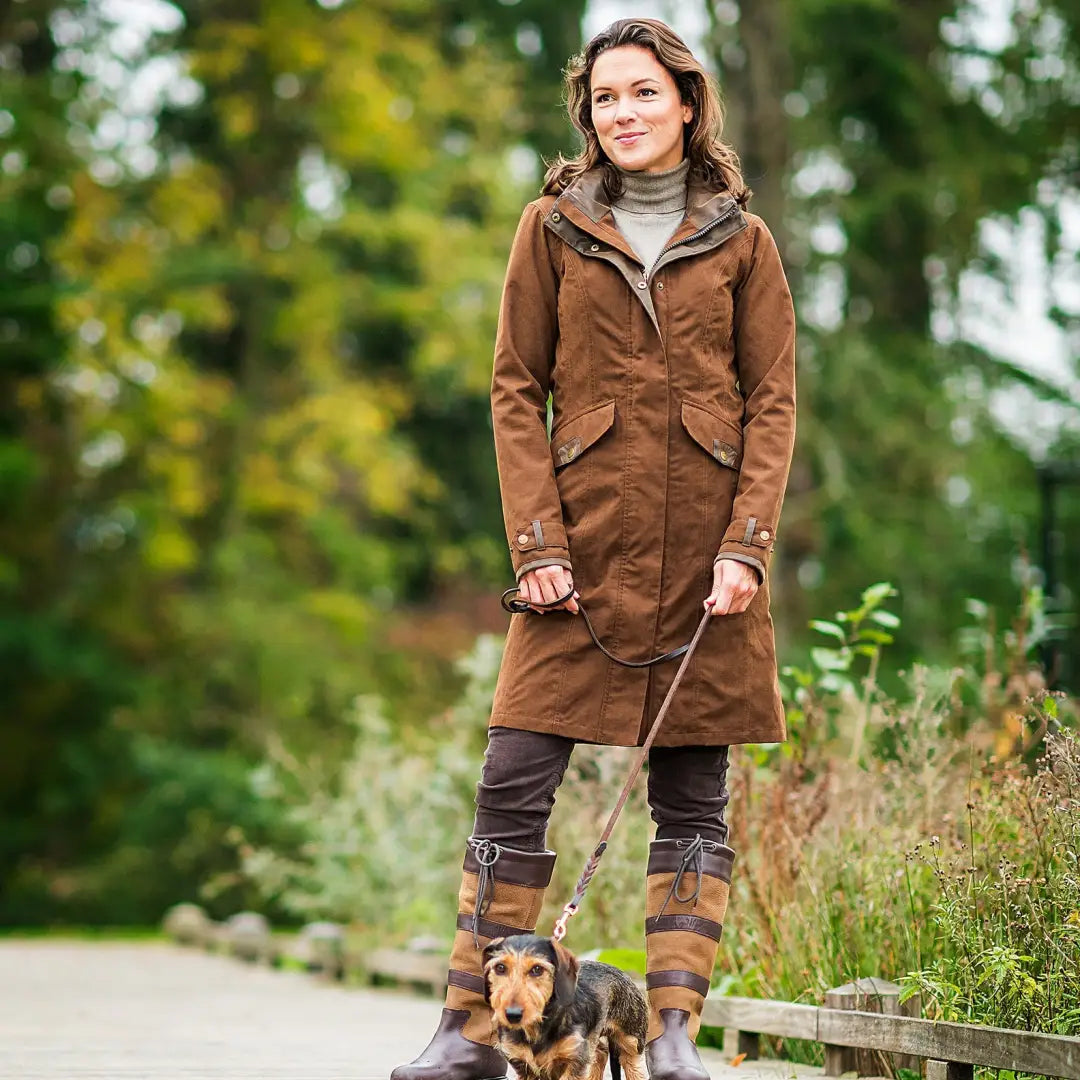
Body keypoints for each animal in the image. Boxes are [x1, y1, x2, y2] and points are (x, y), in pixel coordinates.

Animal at [483, 933, 648, 1075]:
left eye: (537, 969)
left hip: (631, 1041)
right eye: (500, 967)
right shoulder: (523, 1064)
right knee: (601, 1053)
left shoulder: (576, 1058)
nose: (512, 1014)